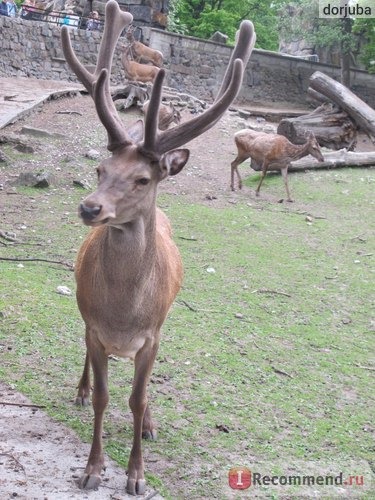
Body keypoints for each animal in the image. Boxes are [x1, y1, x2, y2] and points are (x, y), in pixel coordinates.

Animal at [61, 0, 256, 496]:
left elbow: (136, 396)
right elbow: (106, 397)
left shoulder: (151, 336)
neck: (123, 314)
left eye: (143, 179)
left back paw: (149, 422)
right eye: (100, 168)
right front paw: (92, 469)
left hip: (163, 325)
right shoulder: (96, 329)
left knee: (143, 388)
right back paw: (80, 389)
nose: (90, 207)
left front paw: (136, 473)